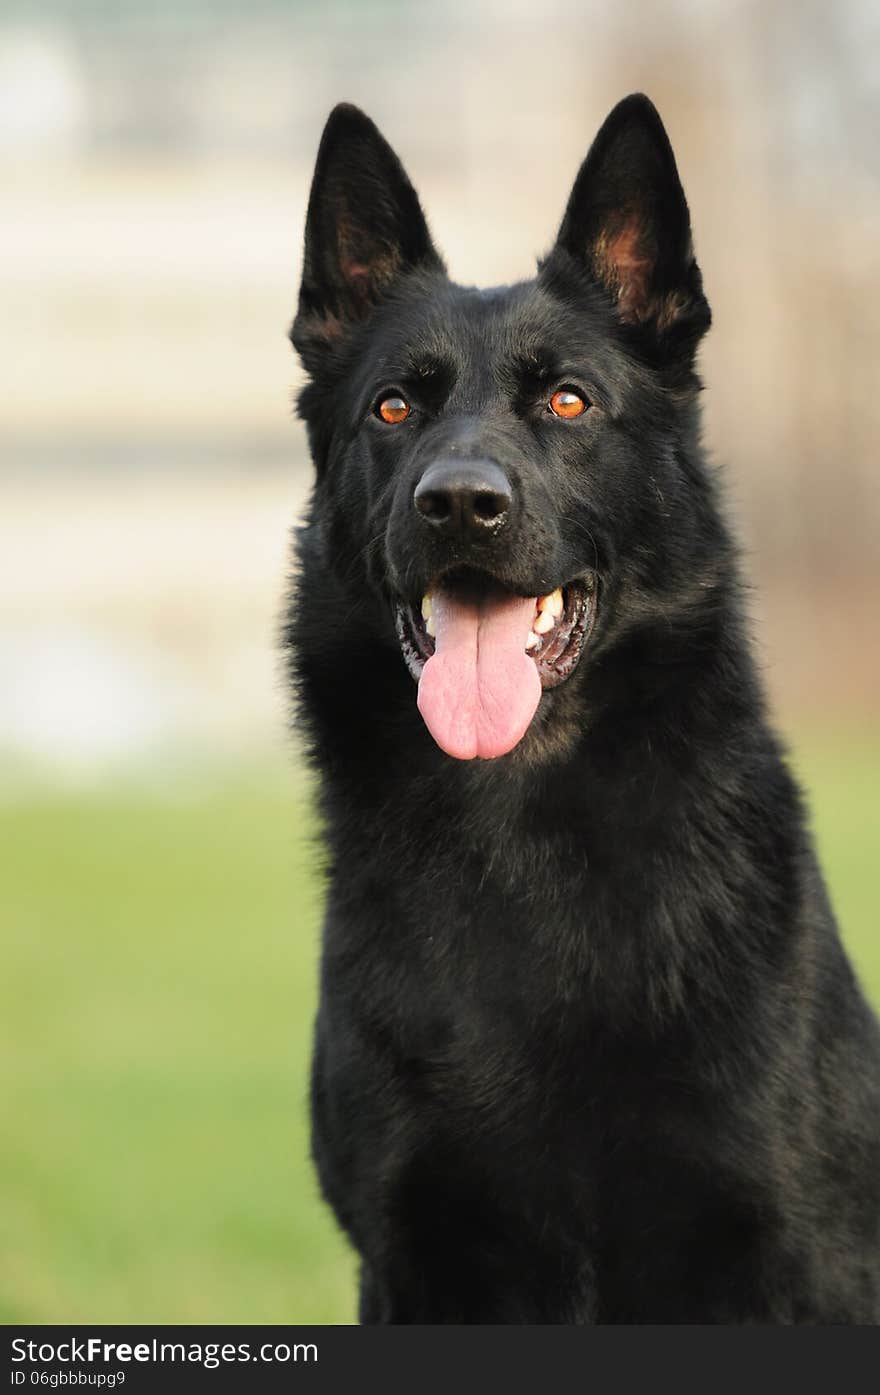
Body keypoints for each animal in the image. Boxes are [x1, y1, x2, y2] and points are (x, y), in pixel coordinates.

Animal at [287, 95, 880, 1316]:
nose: (461, 503)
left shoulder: (780, 1253)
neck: (518, 832)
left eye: (568, 400)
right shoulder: (410, 1258)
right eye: (393, 406)